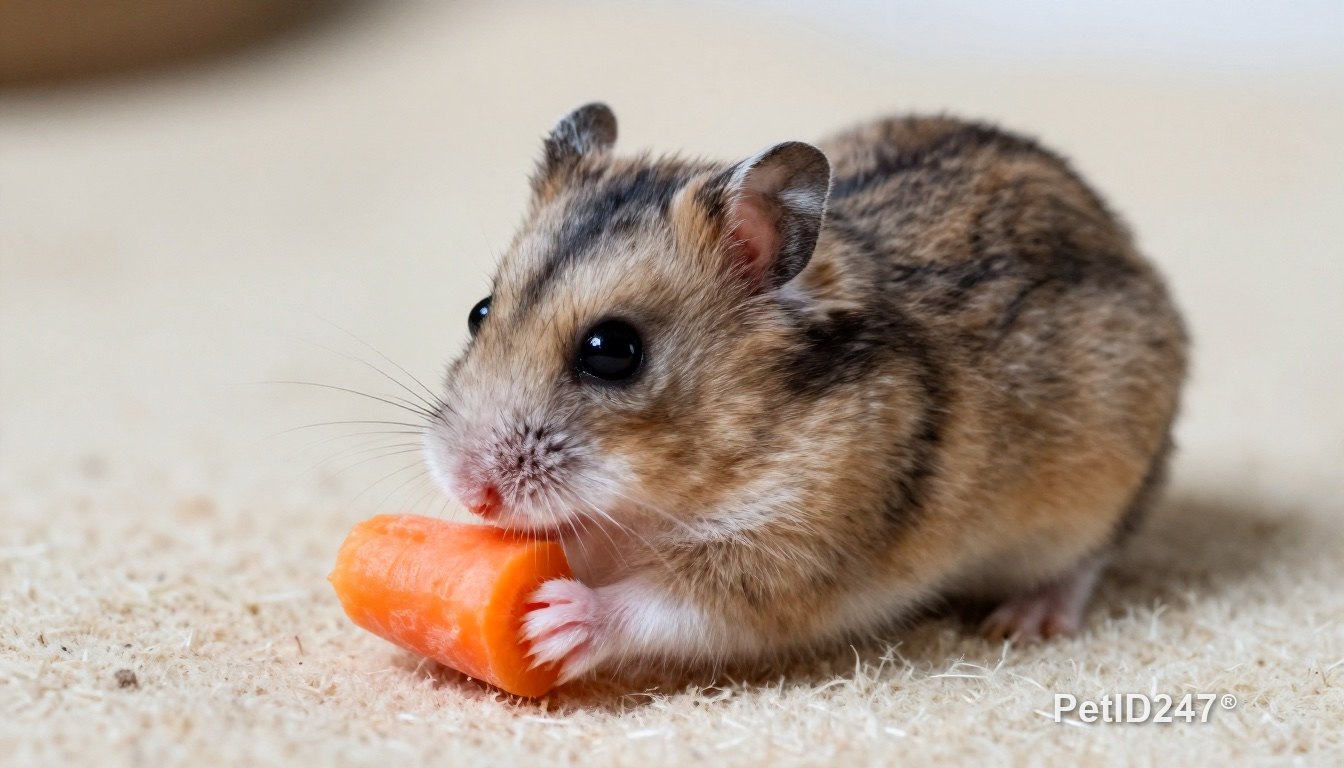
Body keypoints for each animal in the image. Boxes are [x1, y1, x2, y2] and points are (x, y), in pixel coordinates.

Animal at [423, 103, 1187, 683]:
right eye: (479, 312)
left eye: (612, 351)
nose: (469, 492)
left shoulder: (787, 560)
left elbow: (667, 604)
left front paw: (548, 620)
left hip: (1099, 493)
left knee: (1088, 559)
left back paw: (1025, 620)